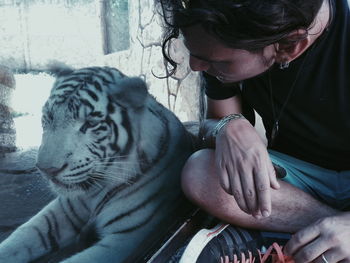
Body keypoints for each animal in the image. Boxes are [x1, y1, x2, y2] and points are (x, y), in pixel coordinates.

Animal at [0, 67, 194, 262]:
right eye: (48, 118)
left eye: (91, 123)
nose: (47, 170)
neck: (94, 191)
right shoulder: (62, 211)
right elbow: (22, 236)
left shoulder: (123, 240)